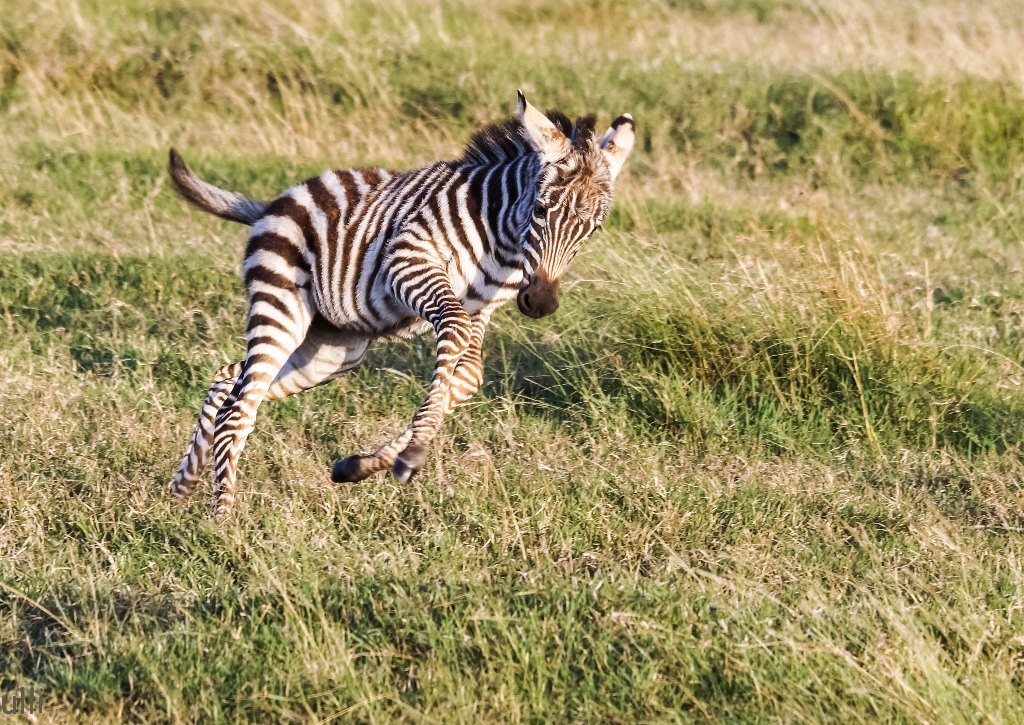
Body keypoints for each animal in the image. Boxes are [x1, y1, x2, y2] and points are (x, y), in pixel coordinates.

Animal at [167, 92, 630, 520]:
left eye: (594, 229)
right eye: (540, 209)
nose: (541, 303)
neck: (501, 239)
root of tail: (272, 204)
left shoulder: (481, 309)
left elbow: (469, 376)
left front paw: (360, 465)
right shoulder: (409, 262)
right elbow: (453, 332)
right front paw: (412, 454)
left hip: (331, 352)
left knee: (229, 382)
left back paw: (181, 489)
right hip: (281, 308)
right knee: (240, 408)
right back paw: (221, 519)